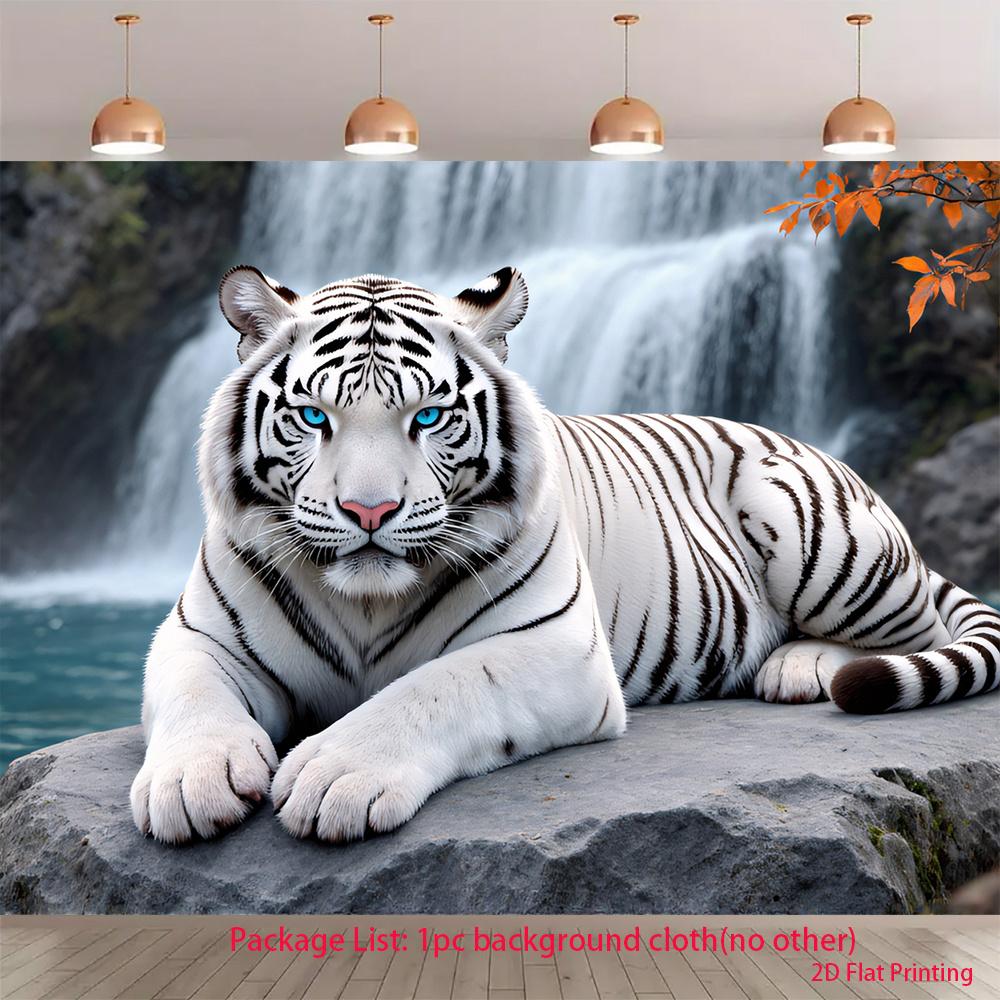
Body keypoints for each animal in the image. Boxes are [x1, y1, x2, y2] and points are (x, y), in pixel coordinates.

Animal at [131, 264, 1000, 844]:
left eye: (428, 416)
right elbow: (194, 695)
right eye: (314, 416)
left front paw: (335, 773)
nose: (369, 511)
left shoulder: (553, 648)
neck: (367, 601)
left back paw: (801, 666)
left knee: (914, 634)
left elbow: (434, 689)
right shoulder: (198, 634)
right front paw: (190, 780)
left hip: (809, 533)